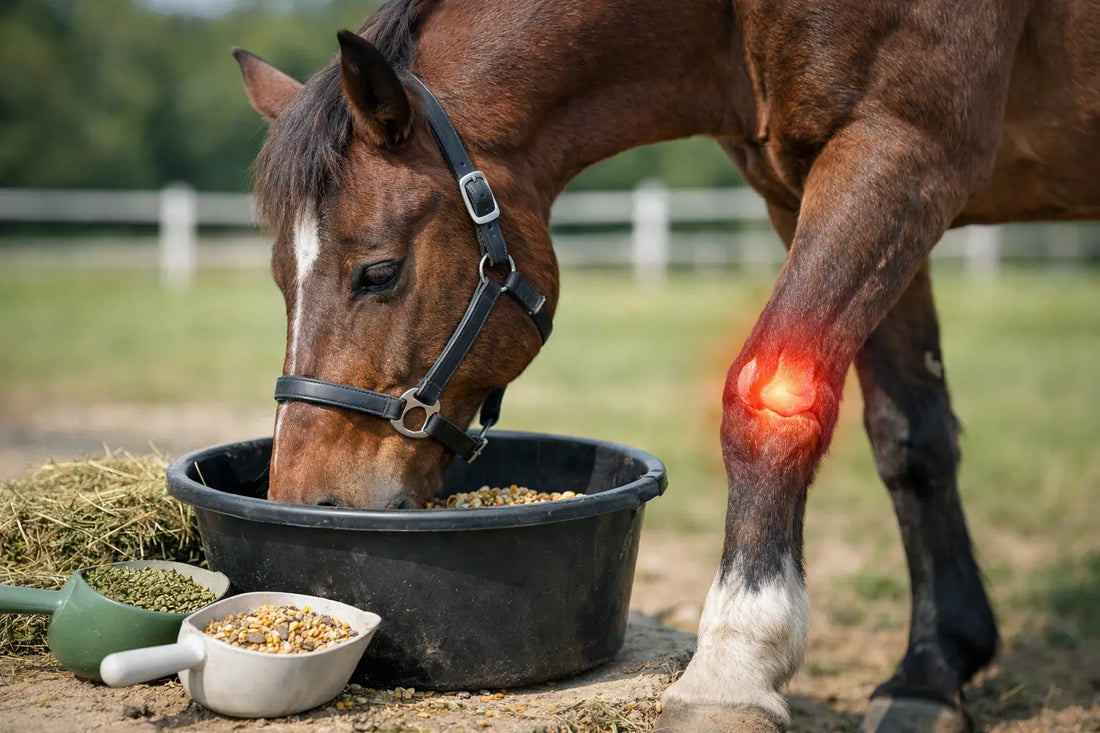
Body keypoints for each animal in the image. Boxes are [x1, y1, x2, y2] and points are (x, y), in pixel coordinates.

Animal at [233, 1, 1100, 730]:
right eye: (277, 278)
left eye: (378, 272)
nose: (308, 502)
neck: (734, 21)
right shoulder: (816, 185)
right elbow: (910, 436)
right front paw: (932, 668)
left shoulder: (906, 147)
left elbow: (771, 393)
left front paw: (733, 667)